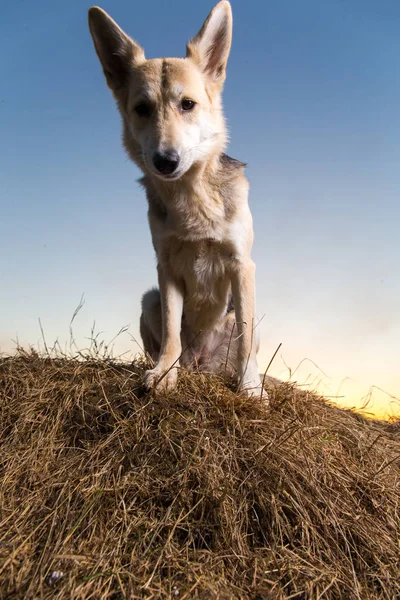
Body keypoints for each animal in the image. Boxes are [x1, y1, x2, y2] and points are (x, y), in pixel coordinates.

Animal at [89, 3, 268, 404]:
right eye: (142, 108)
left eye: (188, 105)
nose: (165, 161)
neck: (191, 196)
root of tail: (201, 363)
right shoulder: (166, 268)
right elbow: (172, 331)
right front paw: (163, 374)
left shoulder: (242, 266)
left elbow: (245, 339)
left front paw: (250, 387)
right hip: (149, 299)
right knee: (172, 344)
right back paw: (178, 367)